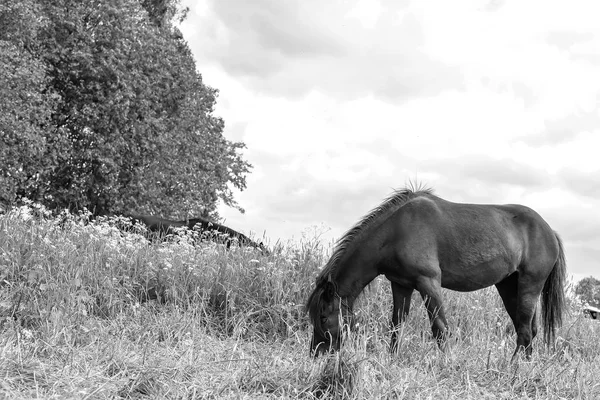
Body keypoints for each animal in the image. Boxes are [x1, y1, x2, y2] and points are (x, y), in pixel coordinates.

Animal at [308, 186, 564, 360]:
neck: (395, 231)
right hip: (509, 286)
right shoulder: (401, 284)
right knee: (527, 328)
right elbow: (396, 326)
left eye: (323, 317)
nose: (315, 353)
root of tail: (549, 230)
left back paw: (513, 368)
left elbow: (440, 328)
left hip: (530, 286)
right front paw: (392, 360)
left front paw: (447, 363)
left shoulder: (428, 282)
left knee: (525, 330)